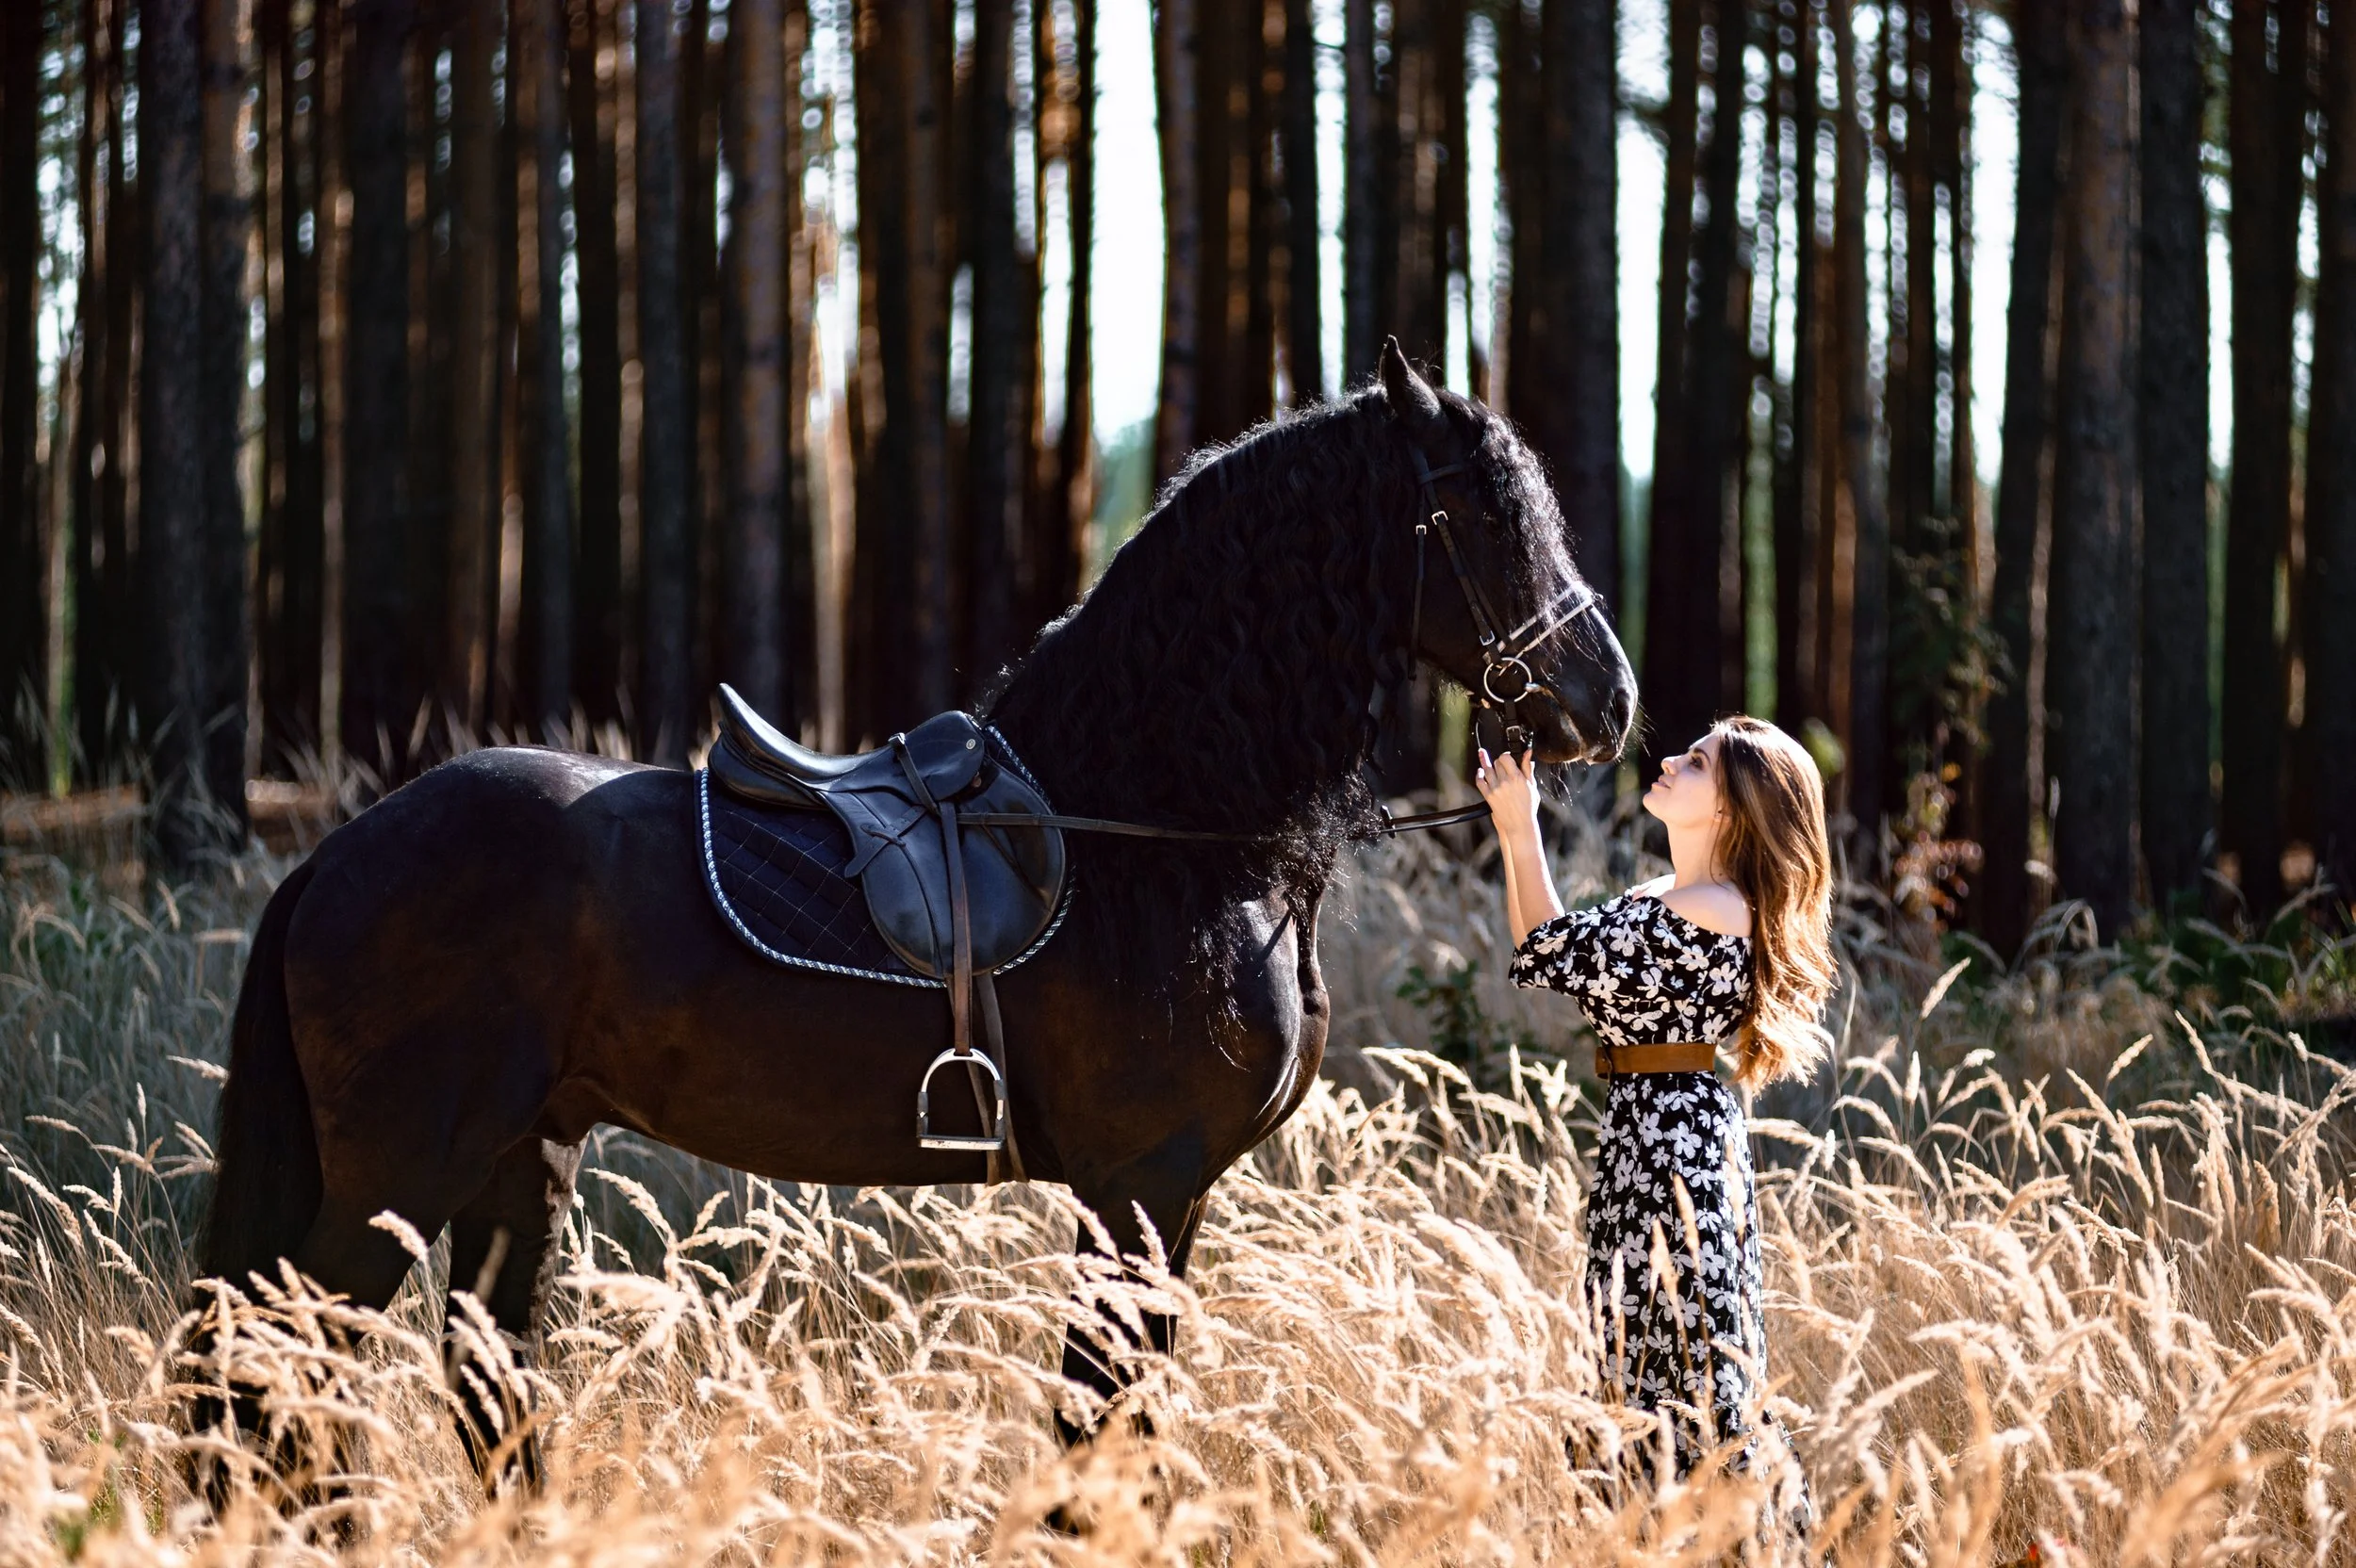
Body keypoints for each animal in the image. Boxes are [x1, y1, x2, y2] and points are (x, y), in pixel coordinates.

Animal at [190, 343, 1636, 1496]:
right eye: (1481, 511)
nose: (1607, 700)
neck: (1155, 828)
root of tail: (338, 856)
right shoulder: (1142, 1186)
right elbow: (1098, 1424)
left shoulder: (1166, 1202)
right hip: (405, 1168)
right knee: (280, 1377)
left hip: (513, 1162)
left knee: (472, 1392)